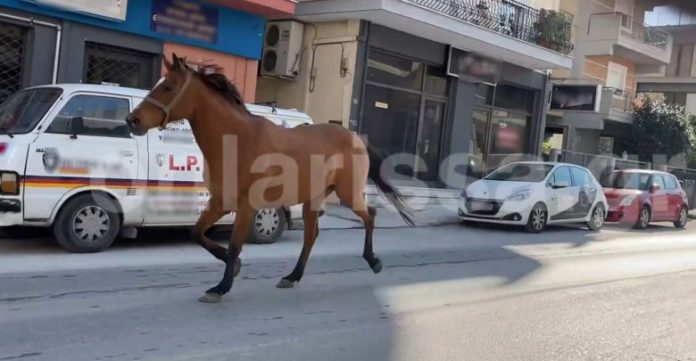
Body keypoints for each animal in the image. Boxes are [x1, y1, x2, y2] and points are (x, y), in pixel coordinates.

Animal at [125, 52, 414, 300]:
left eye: (169, 87)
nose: (132, 120)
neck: (236, 140)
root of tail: (355, 137)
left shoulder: (246, 206)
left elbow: (235, 245)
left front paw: (220, 287)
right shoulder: (219, 201)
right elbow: (197, 233)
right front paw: (234, 269)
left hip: (348, 192)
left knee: (369, 216)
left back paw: (373, 261)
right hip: (313, 199)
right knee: (311, 236)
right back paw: (292, 277)